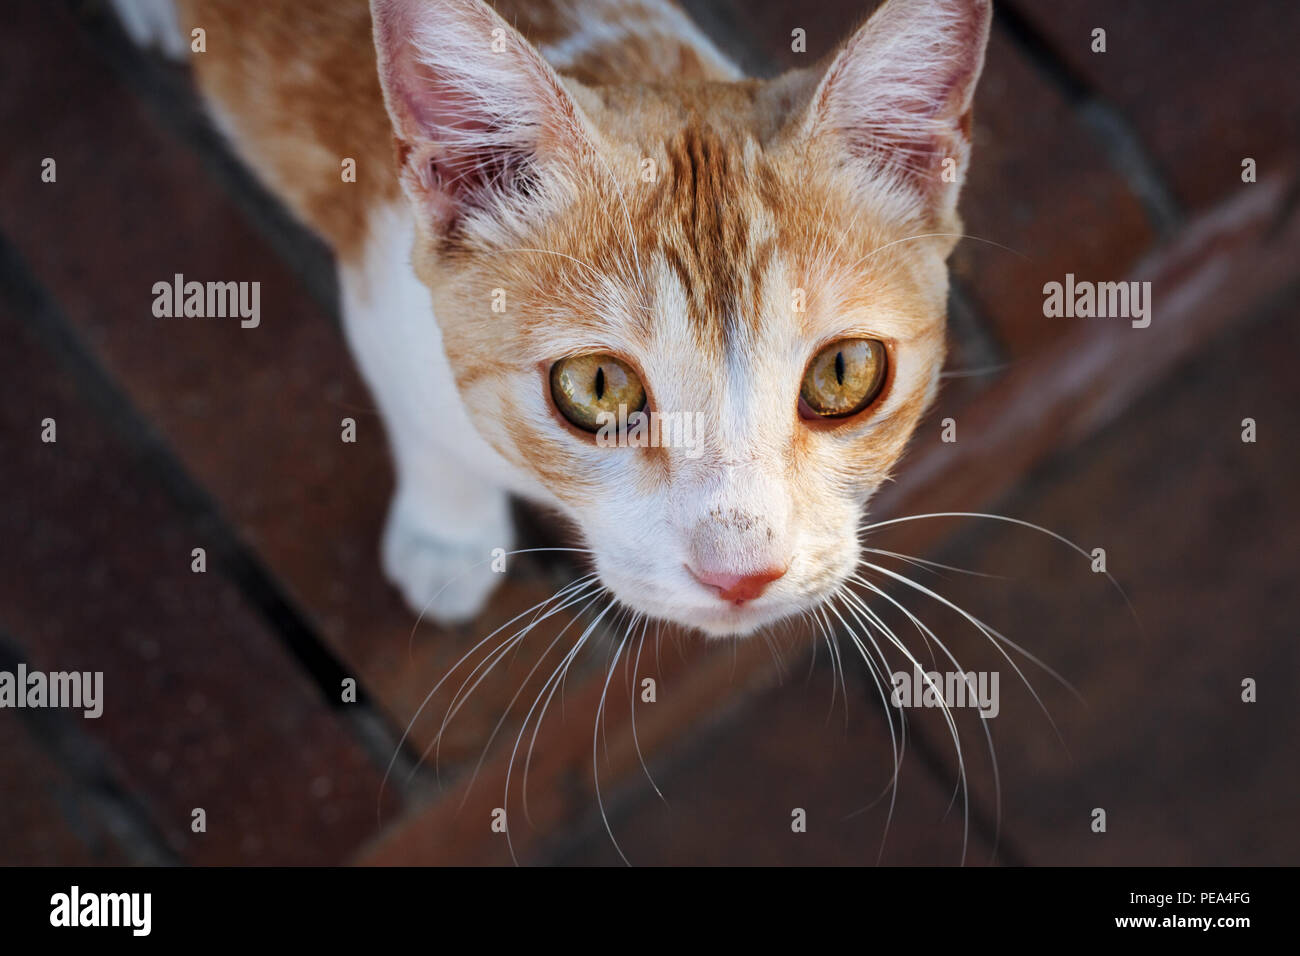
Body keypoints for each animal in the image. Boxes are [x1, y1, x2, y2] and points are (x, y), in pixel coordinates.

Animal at [119, 1, 993, 642]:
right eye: (598, 387)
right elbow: (429, 433)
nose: (740, 572)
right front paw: (447, 538)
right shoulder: (384, 302)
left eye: (843, 373)